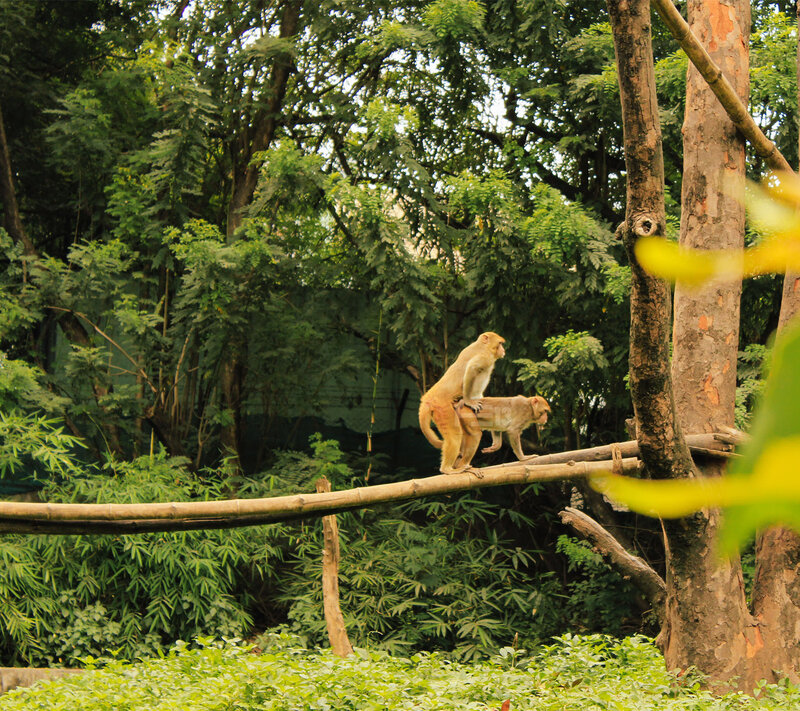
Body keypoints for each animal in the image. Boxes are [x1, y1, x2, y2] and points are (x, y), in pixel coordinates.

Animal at [418, 332, 506, 474]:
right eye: (500, 343)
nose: (503, 350)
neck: (482, 346)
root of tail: (428, 398)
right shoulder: (485, 357)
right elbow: (471, 369)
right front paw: (469, 402)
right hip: (442, 408)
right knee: (454, 435)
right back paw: (448, 469)